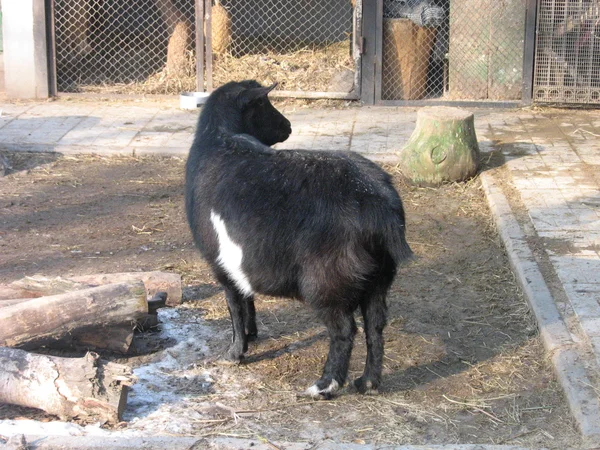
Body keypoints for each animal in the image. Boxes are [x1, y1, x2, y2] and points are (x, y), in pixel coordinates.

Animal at [186, 80, 412, 398]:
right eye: (263, 104)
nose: (288, 127)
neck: (221, 139)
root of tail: (378, 204)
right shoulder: (241, 261)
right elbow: (247, 297)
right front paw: (252, 334)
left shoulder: (221, 263)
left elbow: (234, 305)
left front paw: (235, 352)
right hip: (379, 277)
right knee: (375, 326)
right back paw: (367, 382)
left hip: (327, 280)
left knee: (344, 331)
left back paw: (325, 385)